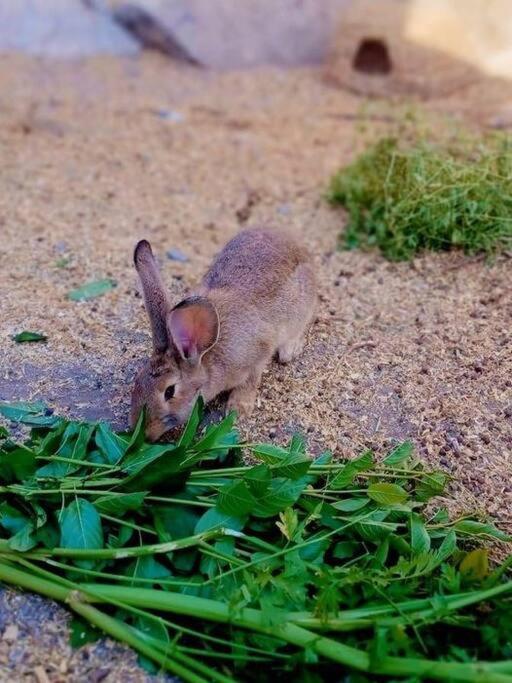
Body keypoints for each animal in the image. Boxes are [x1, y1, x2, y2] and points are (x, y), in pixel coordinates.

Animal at [129, 228, 316, 444]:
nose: (143, 433)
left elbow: (251, 379)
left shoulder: (258, 354)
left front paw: (238, 409)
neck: (207, 356)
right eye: (138, 381)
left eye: (169, 391)